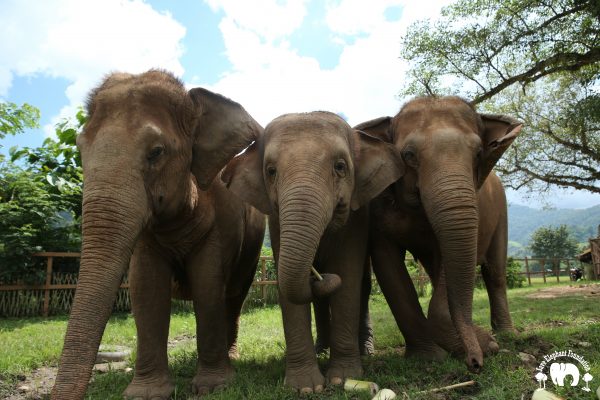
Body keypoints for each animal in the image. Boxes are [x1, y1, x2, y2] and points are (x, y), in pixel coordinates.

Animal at [50, 70, 266, 398]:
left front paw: (212, 387)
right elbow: (146, 286)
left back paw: (232, 359)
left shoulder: (221, 221)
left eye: (156, 152)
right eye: (80, 150)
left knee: (234, 295)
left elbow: (207, 284)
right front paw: (146, 393)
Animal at [220, 111, 404, 392]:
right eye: (271, 171)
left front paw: (342, 379)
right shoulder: (276, 220)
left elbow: (347, 277)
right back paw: (321, 350)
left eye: (340, 167)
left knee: (361, 284)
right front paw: (305, 387)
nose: (319, 276)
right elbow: (287, 284)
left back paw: (365, 351)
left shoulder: (356, 217)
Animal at [358, 97, 524, 372]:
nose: (475, 363)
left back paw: (507, 334)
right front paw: (431, 357)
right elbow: (388, 266)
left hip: (502, 212)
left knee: (495, 273)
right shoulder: (377, 209)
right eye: (408, 155)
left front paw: (487, 343)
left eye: (478, 154)